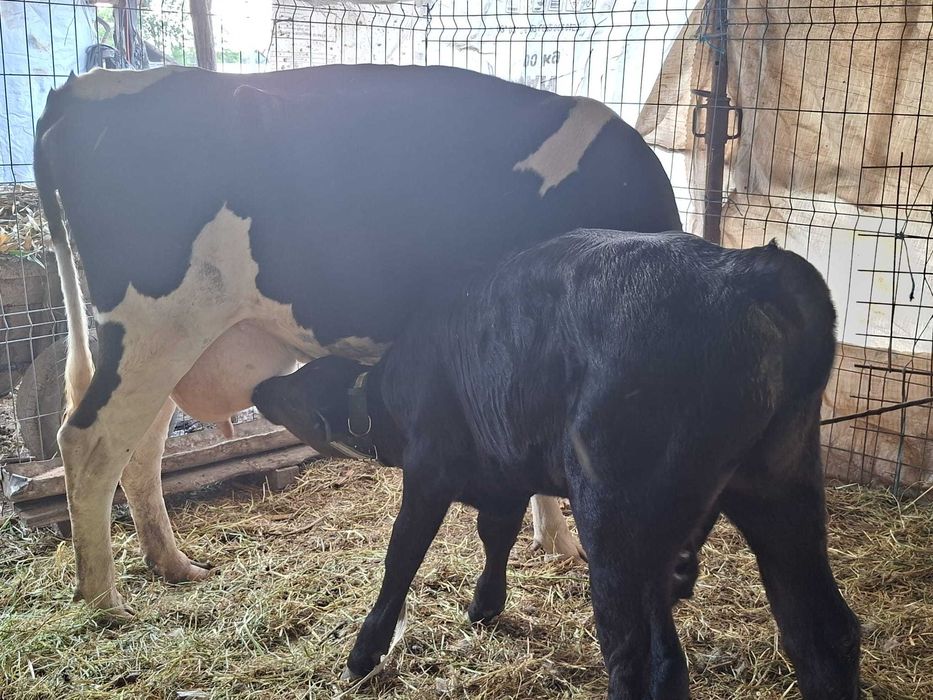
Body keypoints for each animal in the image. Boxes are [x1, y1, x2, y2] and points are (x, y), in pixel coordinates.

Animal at [34, 64, 681, 615]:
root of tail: (89, 84)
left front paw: (556, 540)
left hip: (173, 344)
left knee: (140, 451)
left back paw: (172, 564)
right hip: (157, 328)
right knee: (90, 445)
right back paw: (103, 600)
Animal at [252, 230, 861, 700]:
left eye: (298, 386)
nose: (260, 388)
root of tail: (752, 268)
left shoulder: (429, 469)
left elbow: (402, 553)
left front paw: (365, 651)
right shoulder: (505, 470)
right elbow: (495, 533)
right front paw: (485, 605)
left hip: (617, 518)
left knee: (646, 662)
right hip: (782, 490)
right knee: (824, 633)